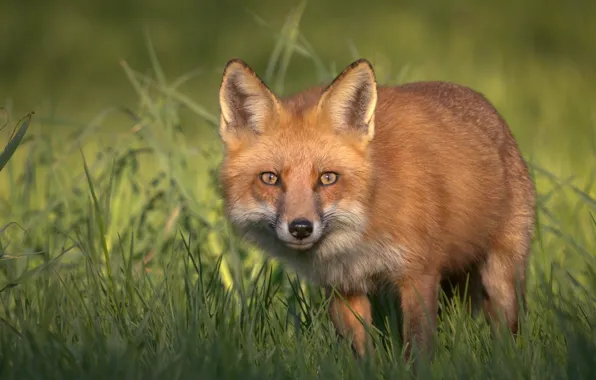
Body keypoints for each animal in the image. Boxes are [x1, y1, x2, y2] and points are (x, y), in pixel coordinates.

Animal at [217, 57, 536, 360]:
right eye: (270, 178)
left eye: (328, 178)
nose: (300, 228)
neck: (361, 228)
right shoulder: (342, 285)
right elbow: (359, 351)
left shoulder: (419, 273)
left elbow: (417, 347)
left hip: (501, 275)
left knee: (509, 328)